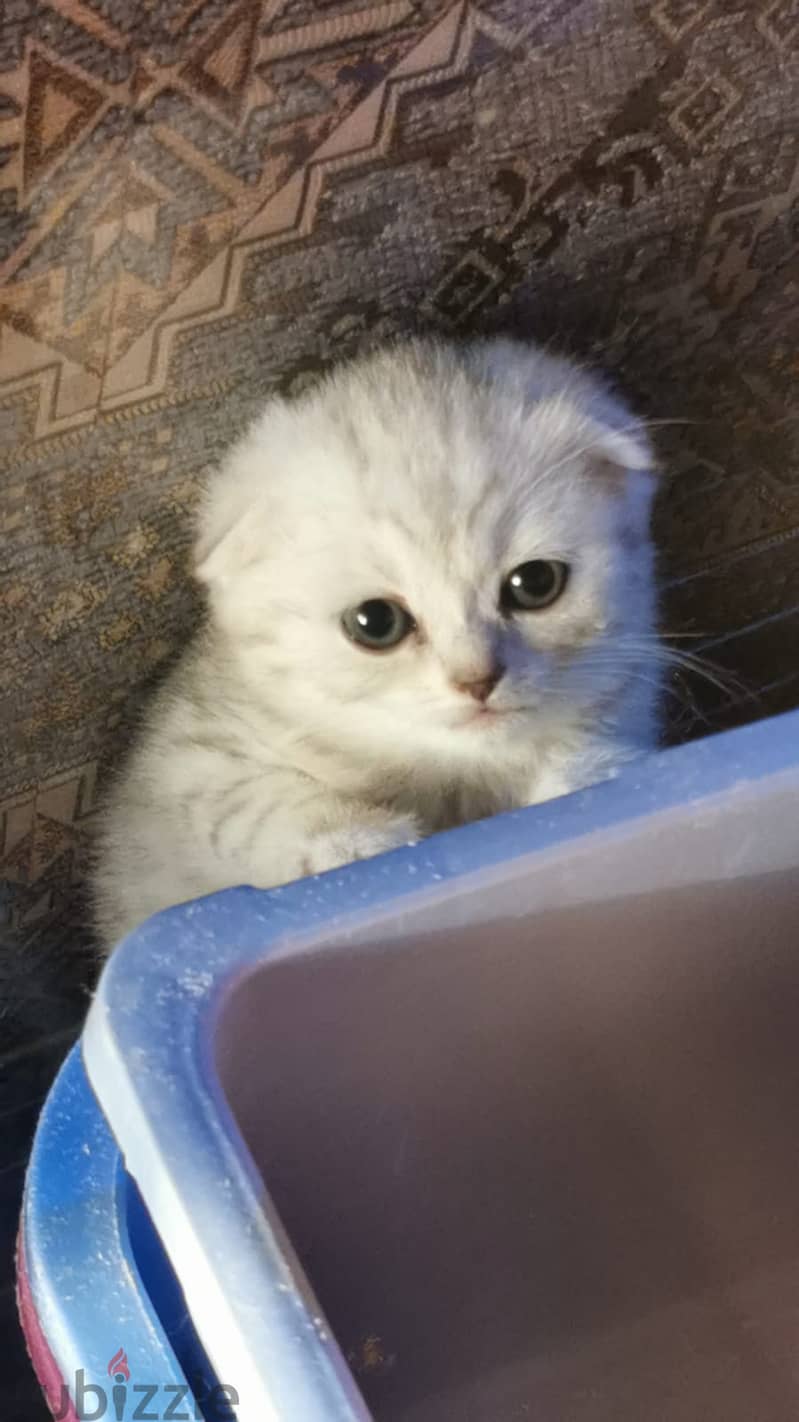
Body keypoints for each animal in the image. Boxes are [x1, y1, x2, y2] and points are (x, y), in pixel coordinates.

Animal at [90, 338, 656, 949]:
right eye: (375, 622)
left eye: (535, 584)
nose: (477, 679)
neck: (452, 779)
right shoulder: (181, 763)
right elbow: (245, 798)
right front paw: (359, 841)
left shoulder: (632, 691)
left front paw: (580, 778)